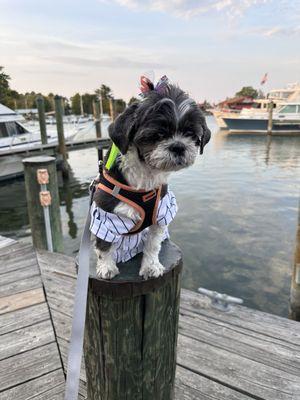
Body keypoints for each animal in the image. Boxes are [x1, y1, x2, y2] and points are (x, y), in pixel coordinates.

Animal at [89, 76, 211, 280]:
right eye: (158, 134)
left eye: (190, 133)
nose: (178, 146)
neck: (145, 175)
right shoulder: (105, 217)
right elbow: (104, 246)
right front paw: (106, 267)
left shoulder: (160, 215)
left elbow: (153, 245)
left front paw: (151, 266)